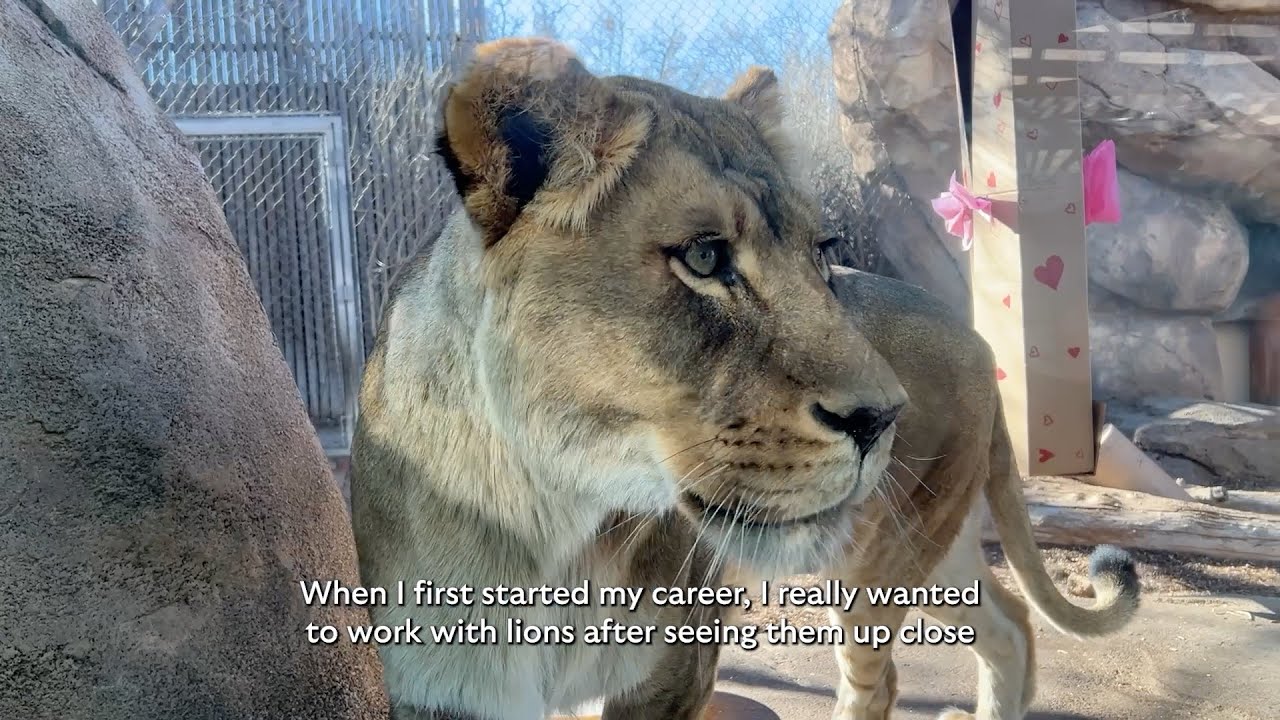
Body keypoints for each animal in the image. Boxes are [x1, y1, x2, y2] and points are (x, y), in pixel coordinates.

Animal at [349, 38, 910, 720]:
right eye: (704, 256)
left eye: (821, 255)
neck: (559, 528)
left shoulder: (670, 677)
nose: (883, 418)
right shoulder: (437, 691)